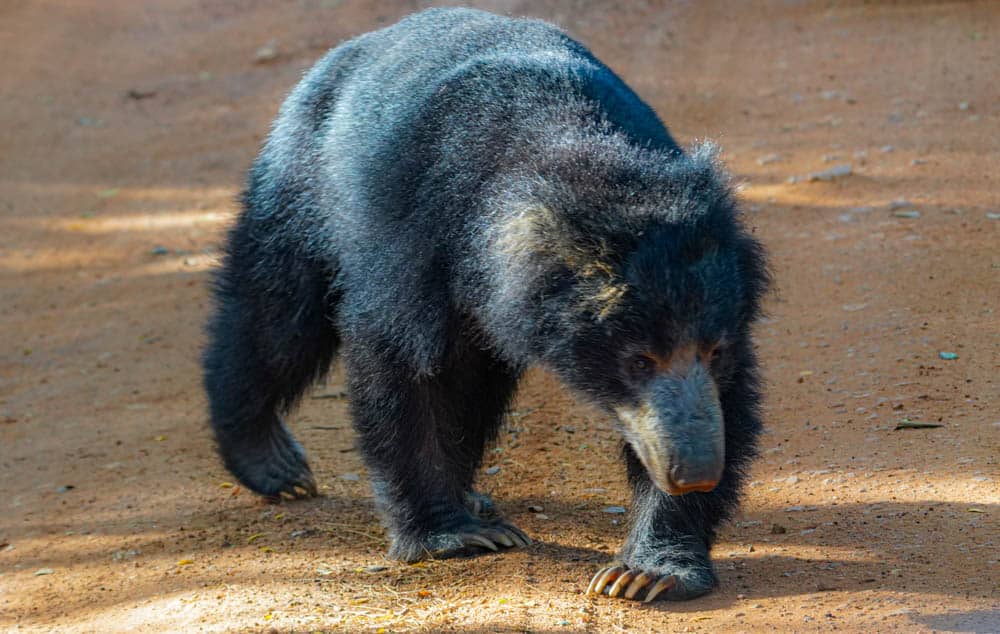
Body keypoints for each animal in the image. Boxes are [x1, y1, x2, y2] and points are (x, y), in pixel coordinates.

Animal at [201, 7, 764, 600]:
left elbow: (730, 399)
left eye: (715, 351)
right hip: (302, 183)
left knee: (472, 384)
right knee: (278, 314)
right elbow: (401, 365)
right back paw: (275, 466)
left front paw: (645, 573)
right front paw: (453, 536)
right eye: (637, 359)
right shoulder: (414, 232)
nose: (695, 470)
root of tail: (358, 46)